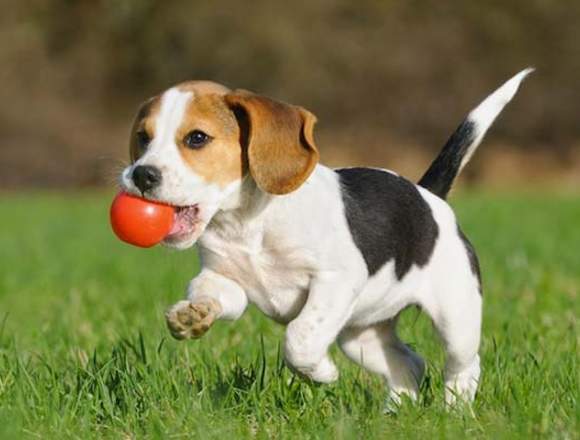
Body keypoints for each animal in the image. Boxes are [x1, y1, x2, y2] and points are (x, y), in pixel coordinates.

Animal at [120, 67, 532, 408]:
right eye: (142, 137)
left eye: (197, 138)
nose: (141, 175)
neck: (247, 223)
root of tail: (427, 195)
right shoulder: (225, 280)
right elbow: (210, 292)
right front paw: (193, 315)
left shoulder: (336, 280)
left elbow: (300, 338)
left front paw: (322, 373)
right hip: (361, 336)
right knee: (410, 365)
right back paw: (394, 413)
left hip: (456, 317)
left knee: (463, 365)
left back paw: (455, 411)